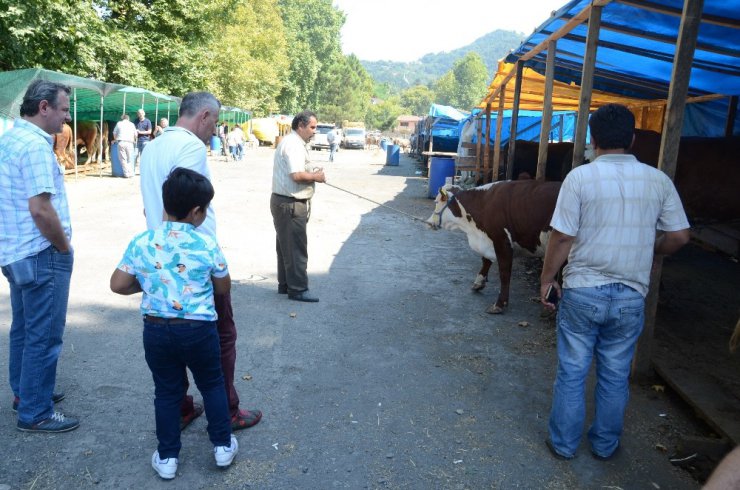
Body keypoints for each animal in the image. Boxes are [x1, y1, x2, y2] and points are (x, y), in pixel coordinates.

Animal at [428, 180, 560, 314]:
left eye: (436, 202)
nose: (429, 222)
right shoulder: (489, 240)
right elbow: (486, 260)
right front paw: (479, 283)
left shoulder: (502, 241)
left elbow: (504, 273)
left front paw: (500, 303)